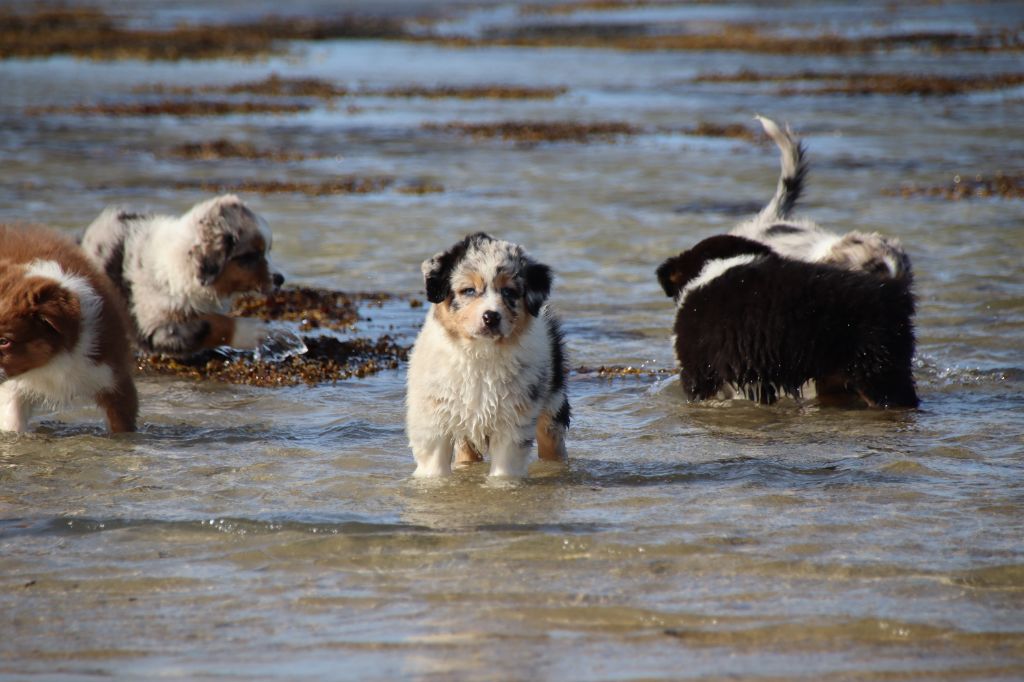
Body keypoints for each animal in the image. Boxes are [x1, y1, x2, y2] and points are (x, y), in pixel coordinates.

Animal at [79, 192, 284, 356]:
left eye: (267, 251)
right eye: (251, 256)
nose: (281, 279)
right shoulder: (159, 326)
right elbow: (209, 324)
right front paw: (250, 331)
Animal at [405, 233, 569, 477]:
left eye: (509, 292)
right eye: (469, 290)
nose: (491, 316)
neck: (479, 355)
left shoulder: (513, 422)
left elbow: (503, 471)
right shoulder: (434, 418)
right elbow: (434, 466)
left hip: (553, 404)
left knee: (553, 444)